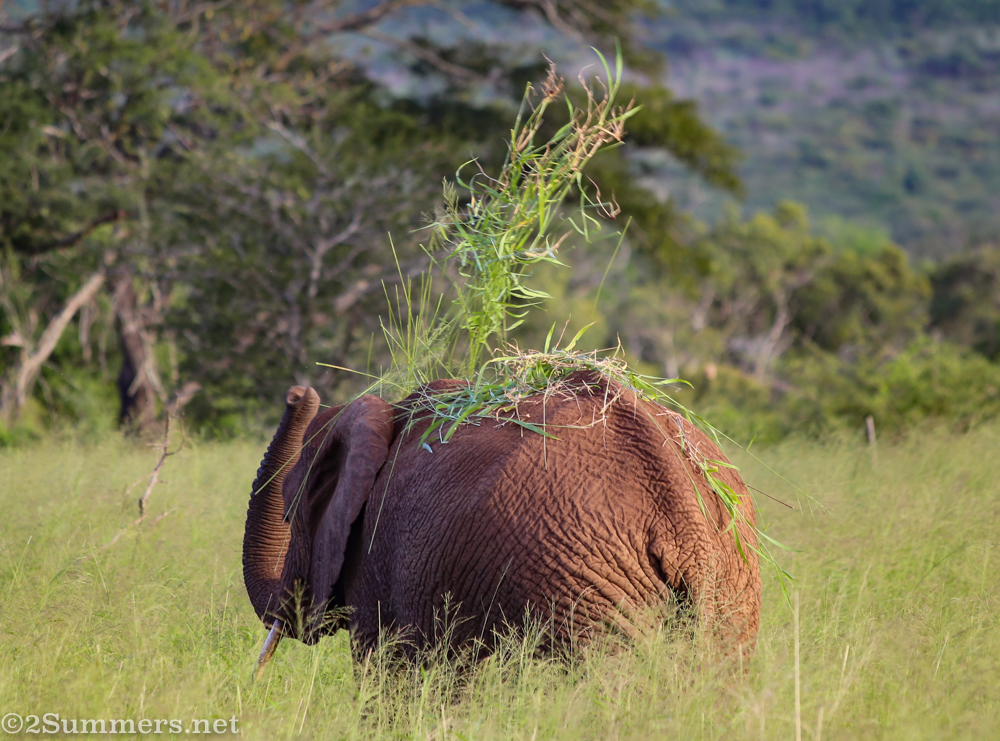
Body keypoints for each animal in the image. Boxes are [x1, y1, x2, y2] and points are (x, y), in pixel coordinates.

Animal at [243, 370, 761, 669]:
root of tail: (684, 511)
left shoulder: (374, 561)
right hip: (729, 589)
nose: (297, 393)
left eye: (289, 512)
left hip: (583, 590)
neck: (384, 415)